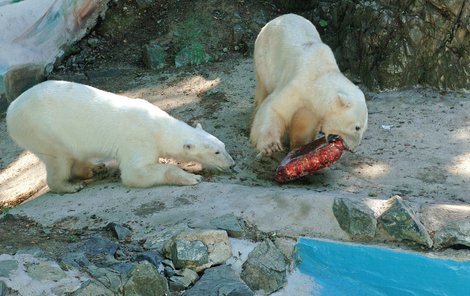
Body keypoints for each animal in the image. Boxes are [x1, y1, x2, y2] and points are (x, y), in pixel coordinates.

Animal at [7, 80, 235, 193]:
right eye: (216, 152)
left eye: (224, 146)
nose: (232, 164)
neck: (158, 125)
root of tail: (11, 110)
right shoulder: (139, 139)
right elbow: (135, 173)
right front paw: (191, 177)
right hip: (41, 129)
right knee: (58, 158)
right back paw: (71, 185)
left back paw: (93, 169)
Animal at [252, 13, 370, 157]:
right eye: (357, 127)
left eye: (364, 129)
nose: (352, 149)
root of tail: (278, 18)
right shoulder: (298, 84)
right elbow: (276, 108)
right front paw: (271, 146)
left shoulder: (312, 107)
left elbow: (304, 126)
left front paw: (300, 146)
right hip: (264, 57)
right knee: (262, 86)